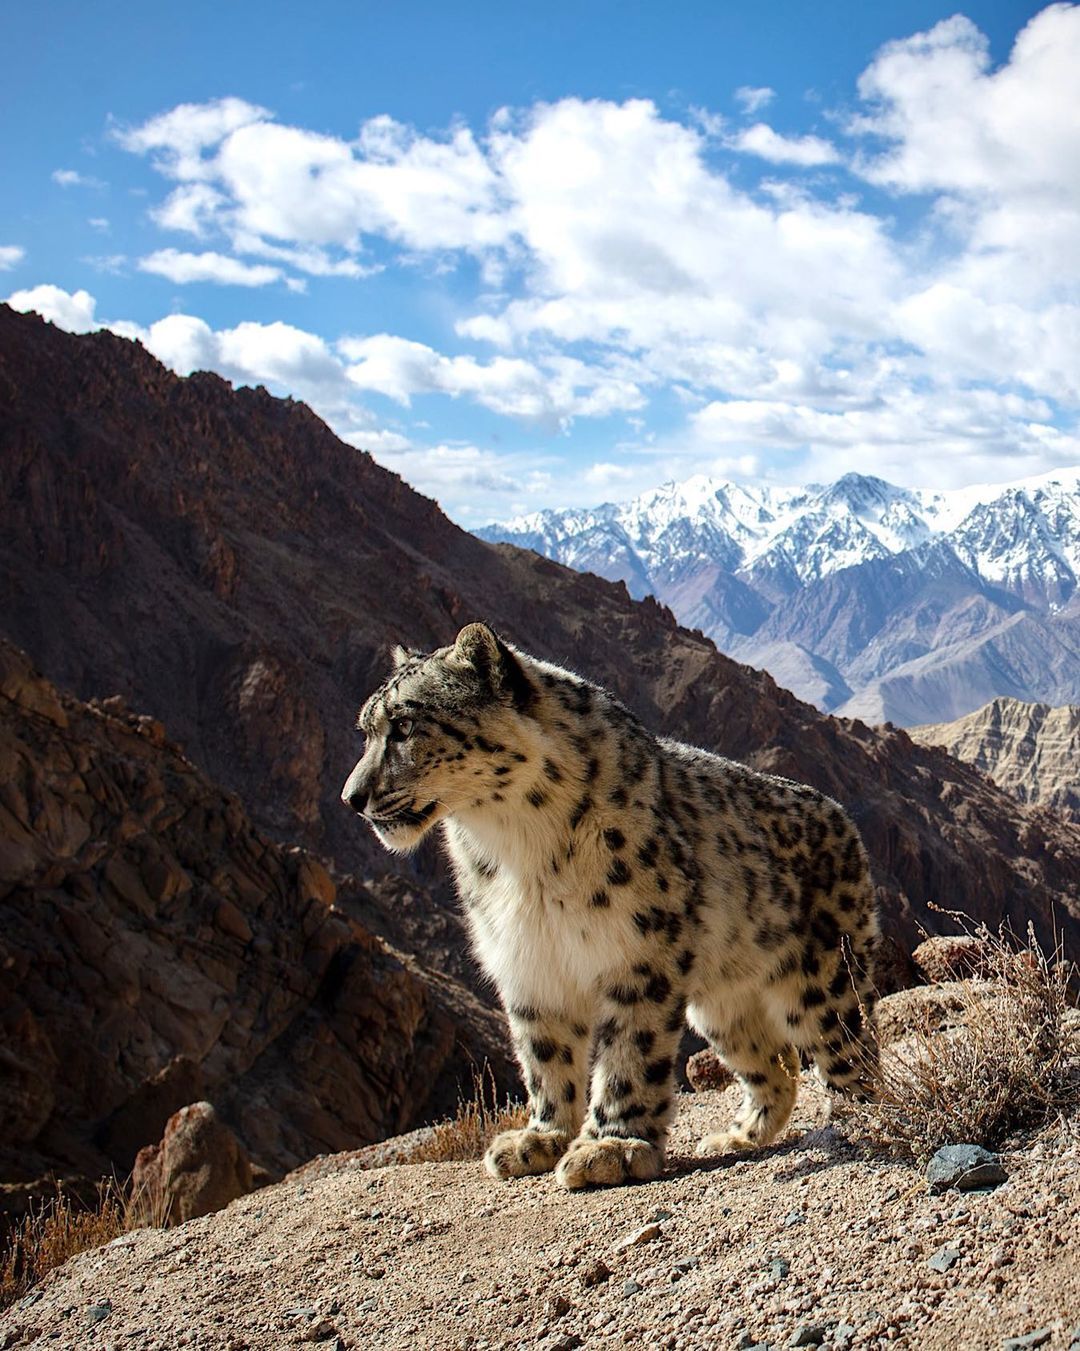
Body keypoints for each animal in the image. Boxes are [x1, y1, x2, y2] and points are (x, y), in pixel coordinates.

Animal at [341, 624, 881, 1194]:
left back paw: (858, 1117)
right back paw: (735, 1138)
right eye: (367, 730)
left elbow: (629, 1050)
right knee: (775, 1066)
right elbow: (544, 1054)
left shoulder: (638, 952)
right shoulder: (527, 961)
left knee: (852, 1053)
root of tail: (842, 818)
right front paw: (541, 1137)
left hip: (824, 982)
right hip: (723, 1006)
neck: (515, 849)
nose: (352, 797)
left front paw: (611, 1147)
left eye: (405, 725)